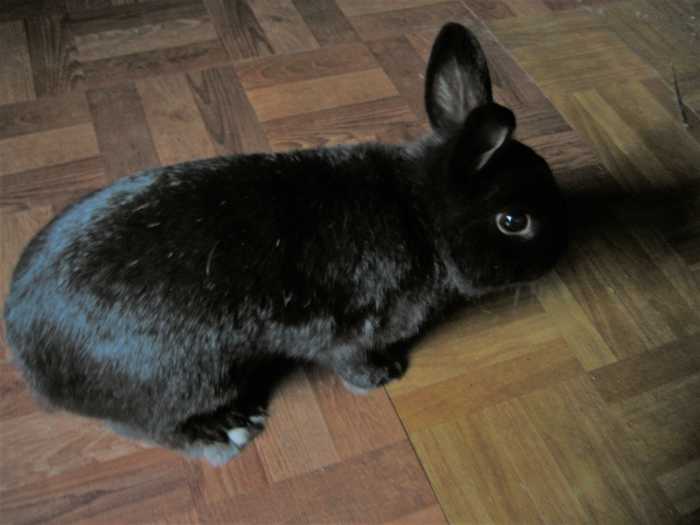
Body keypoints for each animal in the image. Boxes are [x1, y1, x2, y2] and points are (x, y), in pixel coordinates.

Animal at [4, 22, 567, 466]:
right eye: (514, 221)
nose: (561, 249)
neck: (422, 214)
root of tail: (29, 358)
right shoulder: (348, 330)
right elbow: (351, 360)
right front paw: (385, 375)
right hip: (186, 378)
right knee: (148, 427)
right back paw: (226, 433)